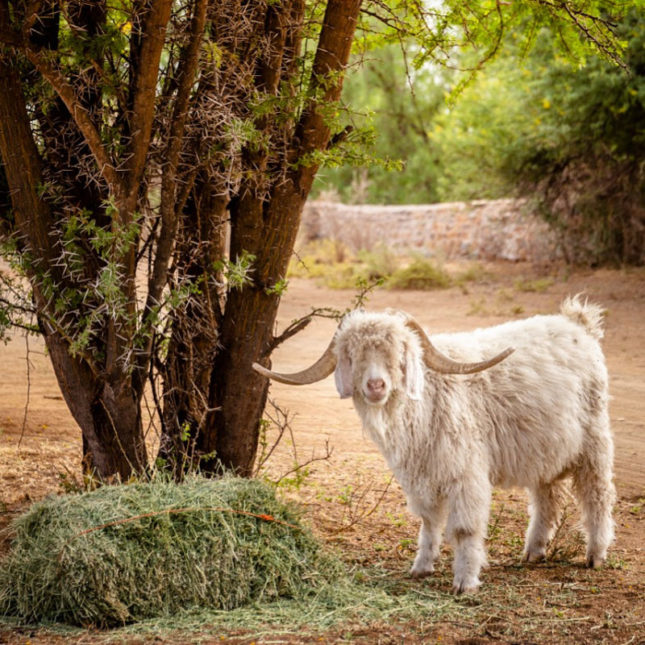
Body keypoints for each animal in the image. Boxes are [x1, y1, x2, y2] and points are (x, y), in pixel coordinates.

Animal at [253, 296, 615, 593]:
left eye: (399, 354)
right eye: (352, 356)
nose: (375, 385)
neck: (428, 397)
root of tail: (578, 324)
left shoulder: (465, 474)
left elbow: (465, 529)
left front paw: (465, 582)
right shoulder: (420, 477)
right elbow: (429, 522)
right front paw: (421, 567)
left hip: (594, 440)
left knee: (597, 496)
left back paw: (595, 555)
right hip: (545, 447)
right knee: (547, 496)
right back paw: (534, 551)